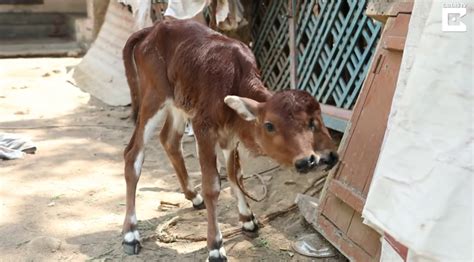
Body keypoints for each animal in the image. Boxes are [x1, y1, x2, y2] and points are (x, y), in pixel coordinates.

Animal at [122, 19, 336, 260]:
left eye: (313, 121)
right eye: (269, 125)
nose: (308, 160)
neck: (233, 80)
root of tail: (152, 29)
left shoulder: (230, 135)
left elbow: (236, 174)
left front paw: (247, 219)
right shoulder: (203, 127)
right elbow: (213, 185)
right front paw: (215, 246)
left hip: (179, 102)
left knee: (169, 139)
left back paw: (194, 197)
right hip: (154, 97)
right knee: (133, 154)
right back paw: (130, 234)